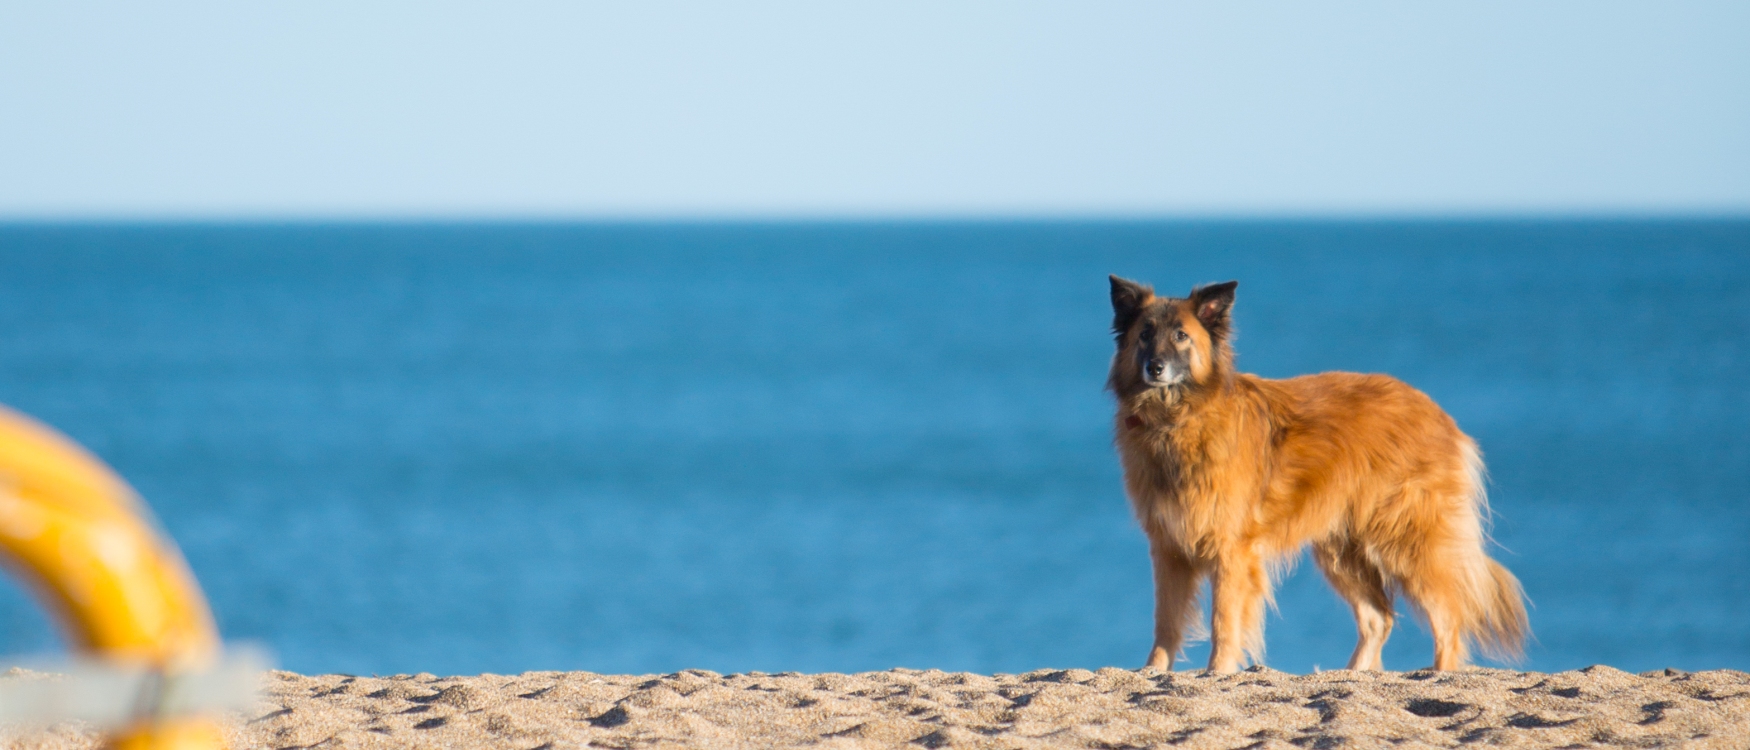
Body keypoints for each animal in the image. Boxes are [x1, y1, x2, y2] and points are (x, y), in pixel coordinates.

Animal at [1106, 276, 1533, 671]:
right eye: (1144, 334)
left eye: (1181, 336)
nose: (1155, 368)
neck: (1175, 420)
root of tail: (1437, 413)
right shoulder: (1169, 548)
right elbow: (1166, 622)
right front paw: (1153, 671)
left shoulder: (1230, 550)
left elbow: (1223, 622)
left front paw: (1218, 672)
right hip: (1342, 550)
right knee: (1379, 618)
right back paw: (1353, 676)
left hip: (1409, 542)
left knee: (1448, 619)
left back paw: (1440, 674)